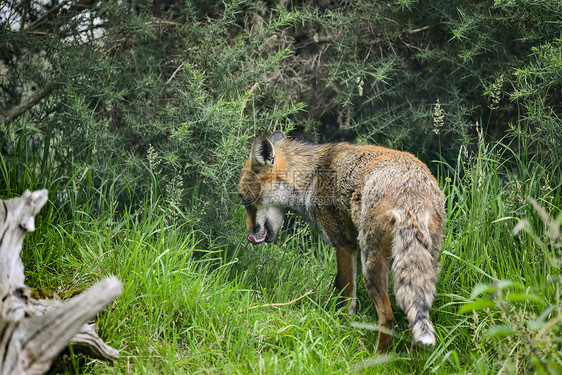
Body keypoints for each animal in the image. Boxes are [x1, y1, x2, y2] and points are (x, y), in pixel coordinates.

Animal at [238, 131, 444, 352]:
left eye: (247, 202)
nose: (250, 237)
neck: (312, 177)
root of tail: (411, 191)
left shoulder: (344, 244)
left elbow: (347, 299)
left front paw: (344, 328)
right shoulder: (355, 249)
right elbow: (339, 288)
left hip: (371, 267)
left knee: (387, 317)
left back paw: (378, 357)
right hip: (422, 263)